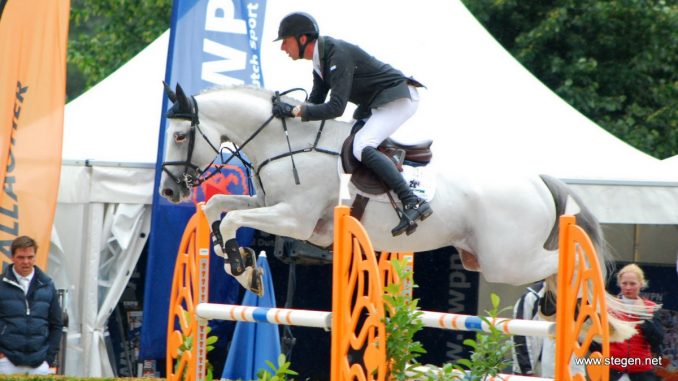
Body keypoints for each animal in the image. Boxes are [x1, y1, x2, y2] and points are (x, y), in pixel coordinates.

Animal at [158, 83, 648, 342]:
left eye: (181, 136)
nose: (167, 190)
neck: (285, 144)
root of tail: (537, 181)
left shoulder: (295, 219)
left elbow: (232, 219)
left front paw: (244, 268)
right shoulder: (269, 206)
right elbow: (220, 209)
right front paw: (241, 265)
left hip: (505, 260)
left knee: (567, 260)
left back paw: (574, 308)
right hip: (484, 258)